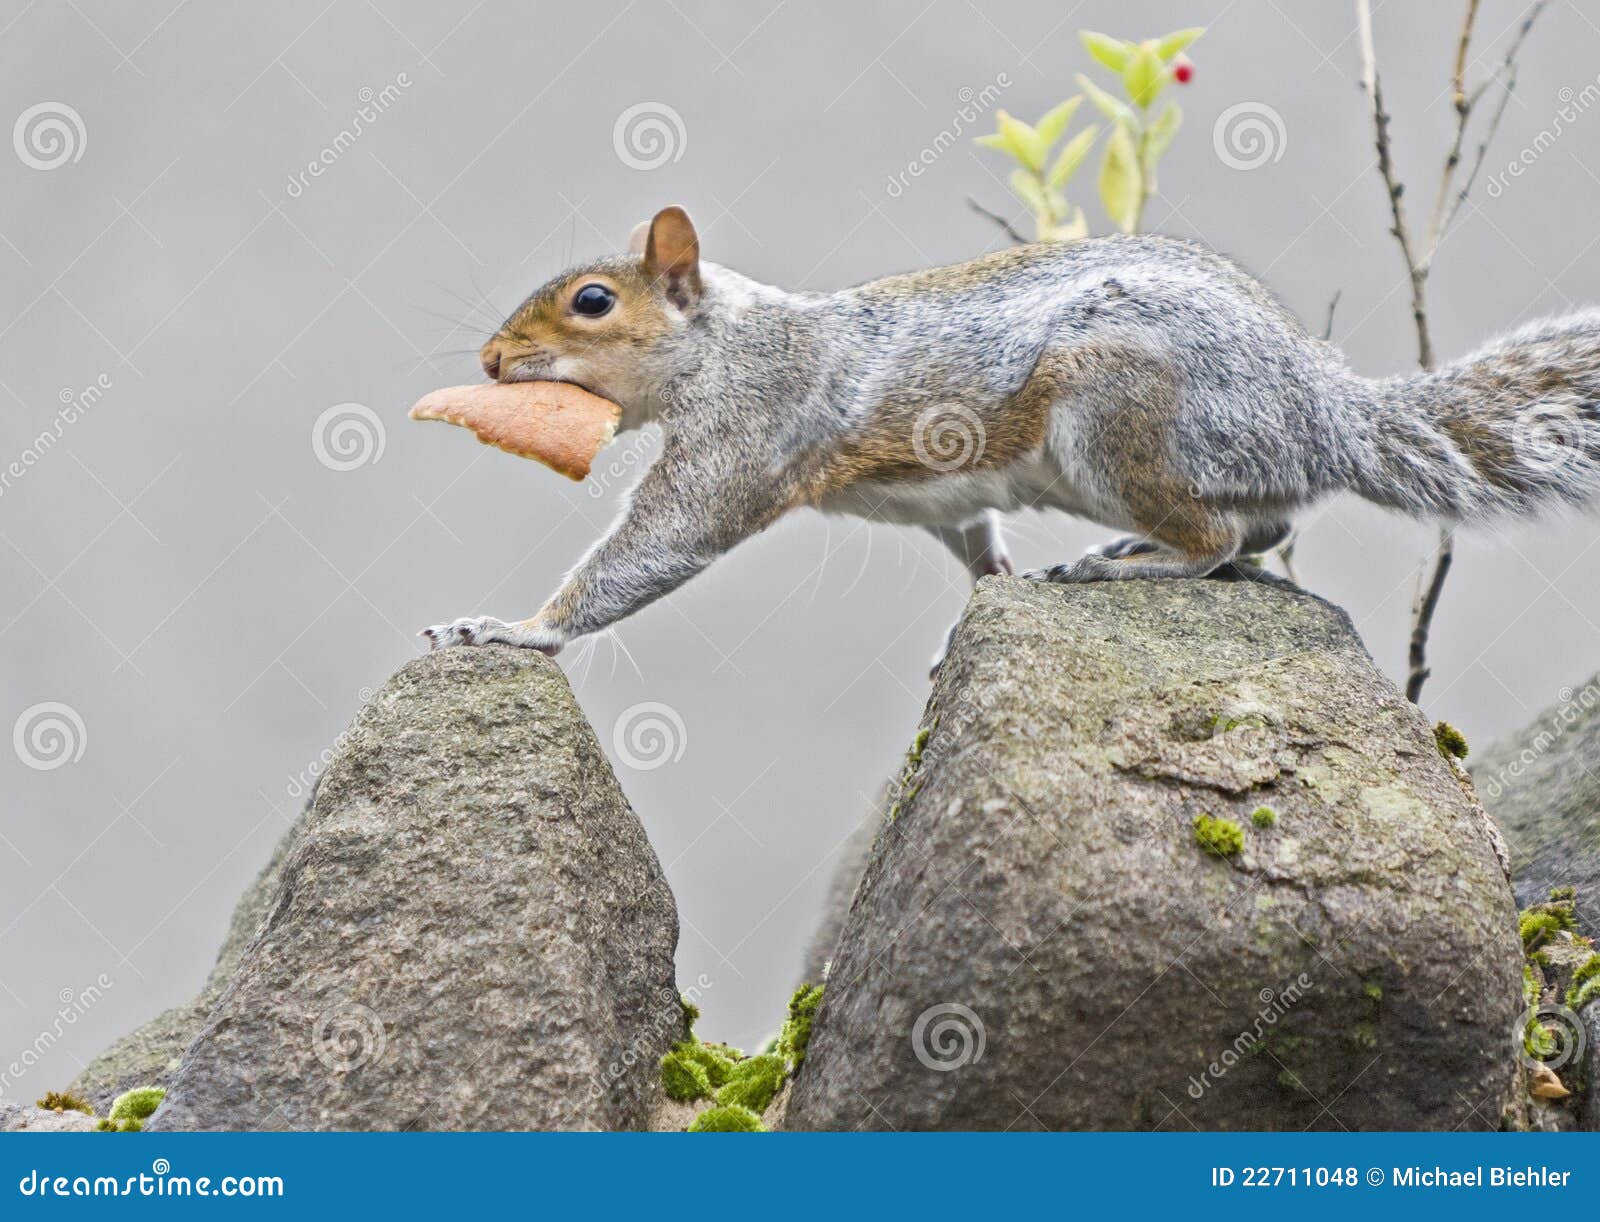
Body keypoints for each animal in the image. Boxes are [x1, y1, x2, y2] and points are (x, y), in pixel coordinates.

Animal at [423, 205, 1600, 663]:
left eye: (591, 304)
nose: (489, 361)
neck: (725, 342)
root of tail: (1324, 406)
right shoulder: (947, 498)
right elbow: (974, 538)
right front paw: (990, 590)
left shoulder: (750, 434)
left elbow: (659, 543)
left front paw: (515, 631)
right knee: (1263, 533)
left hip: (1114, 416)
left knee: (1217, 539)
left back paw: (1129, 562)